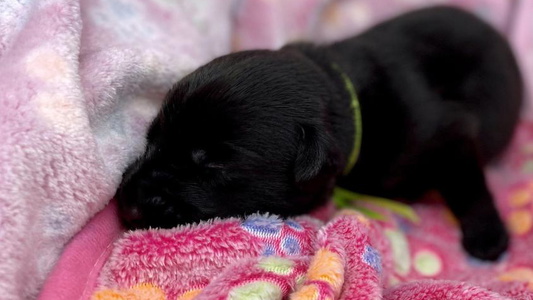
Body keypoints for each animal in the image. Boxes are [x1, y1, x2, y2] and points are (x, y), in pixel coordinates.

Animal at [116, 6, 520, 260]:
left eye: (213, 164)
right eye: (151, 140)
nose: (126, 205)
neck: (350, 102)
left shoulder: (450, 131)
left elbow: (467, 182)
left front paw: (487, 235)